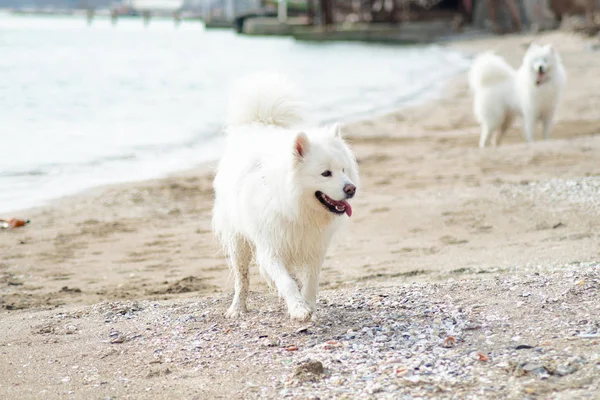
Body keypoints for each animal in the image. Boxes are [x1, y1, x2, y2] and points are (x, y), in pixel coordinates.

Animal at [212, 72, 358, 322]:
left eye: (343, 170)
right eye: (325, 173)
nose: (351, 189)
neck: (296, 209)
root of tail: (259, 123)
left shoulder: (314, 247)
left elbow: (310, 283)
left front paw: (308, 307)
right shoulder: (270, 247)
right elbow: (285, 282)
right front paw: (298, 309)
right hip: (238, 241)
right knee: (242, 278)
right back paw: (237, 308)